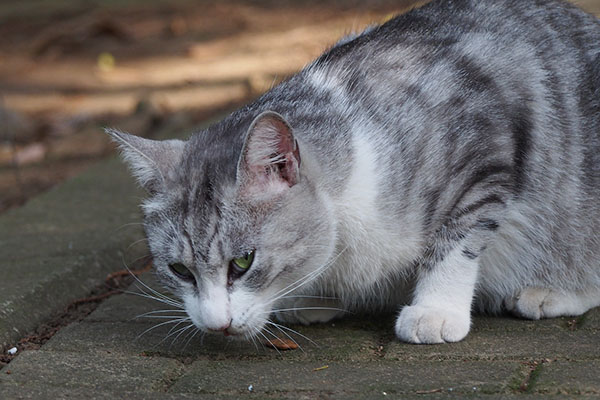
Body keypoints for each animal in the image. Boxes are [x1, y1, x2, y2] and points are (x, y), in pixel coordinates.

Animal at [108, 0, 600, 344]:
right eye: (180, 270)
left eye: (242, 263)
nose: (216, 325)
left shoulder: (484, 152)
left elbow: (456, 240)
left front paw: (436, 310)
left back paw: (550, 292)